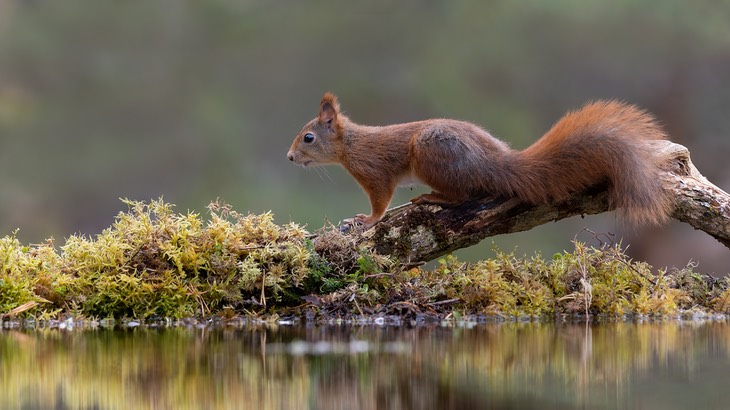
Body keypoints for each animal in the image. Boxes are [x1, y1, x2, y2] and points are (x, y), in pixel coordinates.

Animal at [286, 91, 672, 231]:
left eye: (309, 138)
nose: (289, 157)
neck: (351, 145)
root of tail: (497, 162)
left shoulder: (375, 172)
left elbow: (381, 202)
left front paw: (366, 220)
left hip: (431, 155)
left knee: (463, 196)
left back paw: (431, 197)